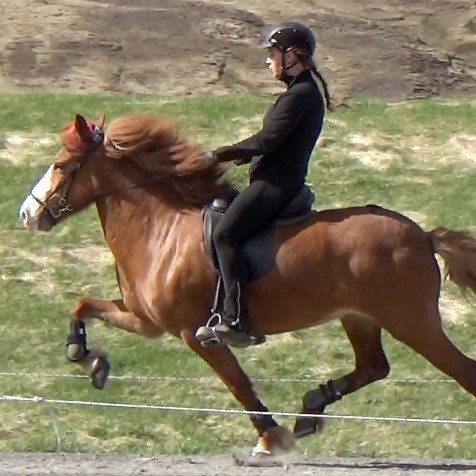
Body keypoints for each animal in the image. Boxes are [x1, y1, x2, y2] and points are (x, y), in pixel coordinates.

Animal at [19, 114, 476, 454]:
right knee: (373, 367)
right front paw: (88, 359)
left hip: (412, 322)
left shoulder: (195, 333)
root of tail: (422, 236)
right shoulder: (145, 320)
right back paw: (311, 408)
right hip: (359, 318)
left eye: (61, 166)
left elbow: (238, 384)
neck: (160, 229)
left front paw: (271, 440)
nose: (27, 214)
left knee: (461, 371)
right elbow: (82, 305)